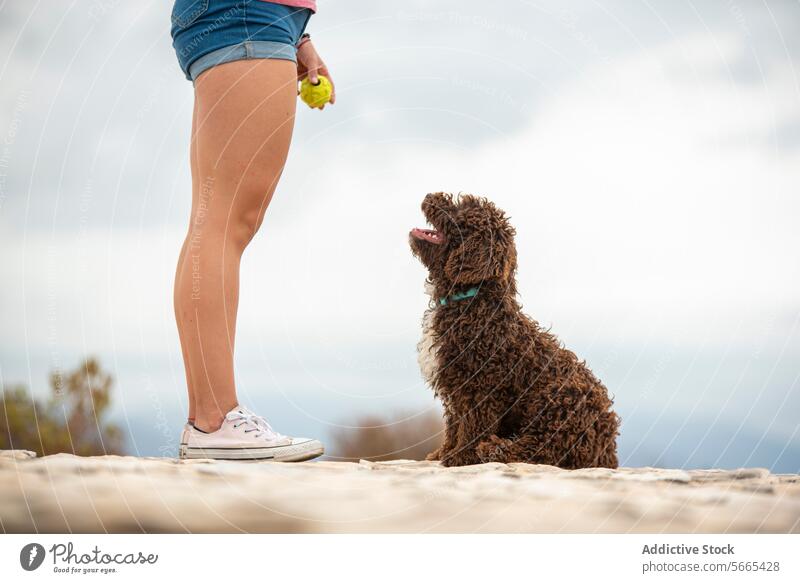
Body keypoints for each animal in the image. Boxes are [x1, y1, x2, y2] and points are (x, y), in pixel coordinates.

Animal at [410, 194, 620, 468]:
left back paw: (493, 449)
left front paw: (460, 457)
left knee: (540, 450)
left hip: (559, 402)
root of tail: (608, 449)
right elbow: (455, 424)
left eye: (463, 208)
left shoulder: (480, 387)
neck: (473, 301)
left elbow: (472, 426)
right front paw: (443, 453)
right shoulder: (456, 384)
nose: (430, 195)